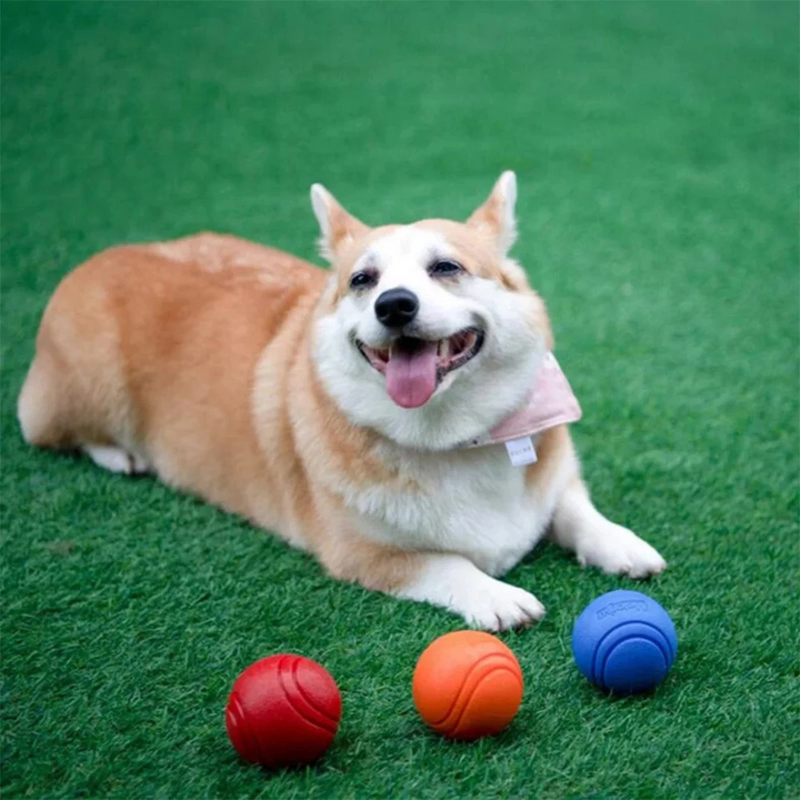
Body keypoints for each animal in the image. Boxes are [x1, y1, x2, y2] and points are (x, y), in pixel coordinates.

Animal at [20, 172, 668, 628]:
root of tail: (101, 256)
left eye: (446, 267)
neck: (456, 436)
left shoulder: (556, 479)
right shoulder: (363, 555)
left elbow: (575, 508)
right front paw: (498, 596)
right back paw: (121, 455)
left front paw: (623, 544)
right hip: (89, 388)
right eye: (363, 280)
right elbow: (447, 562)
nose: (394, 305)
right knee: (56, 431)